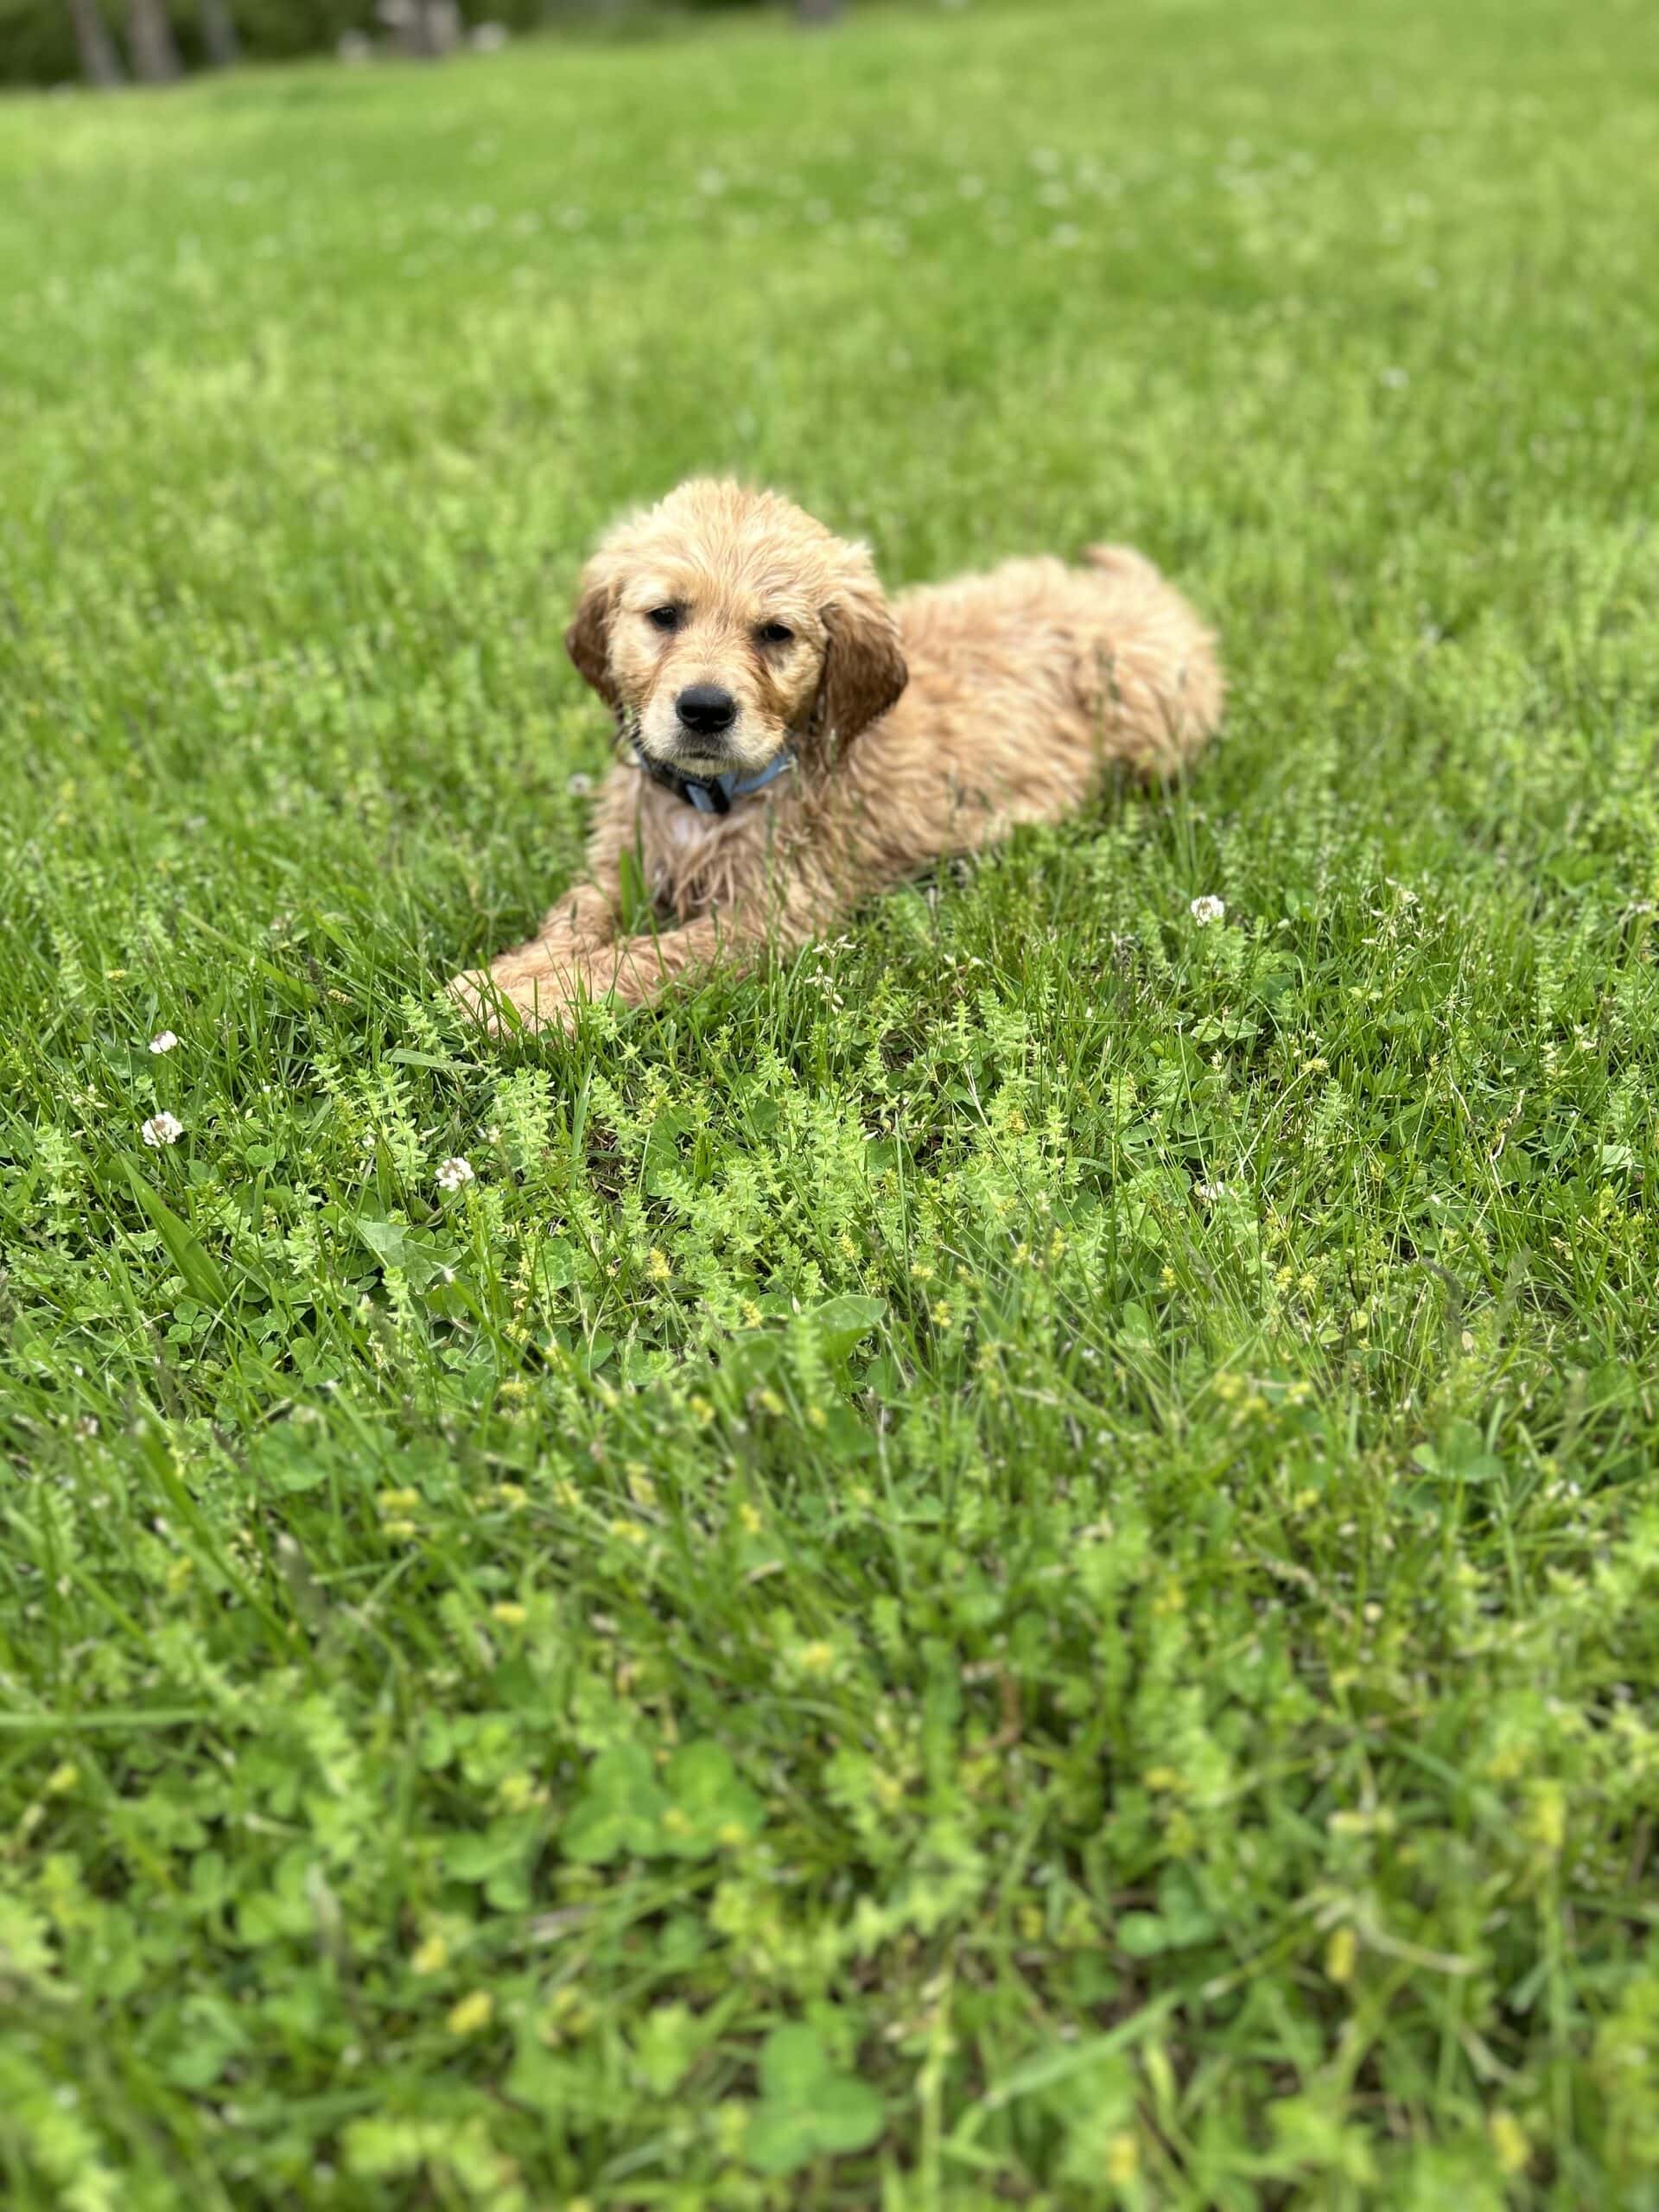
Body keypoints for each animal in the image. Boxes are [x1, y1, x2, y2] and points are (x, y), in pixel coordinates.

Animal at [451, 480, 1221, 1030]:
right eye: (664, 616)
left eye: (775, 633)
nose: (704, 709)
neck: (712, 799)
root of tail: (1144, 596)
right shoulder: (624, 859)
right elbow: (576, 914)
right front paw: (516, 972)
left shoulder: (774, 916)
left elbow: (652, 954)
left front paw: (532, 1000)